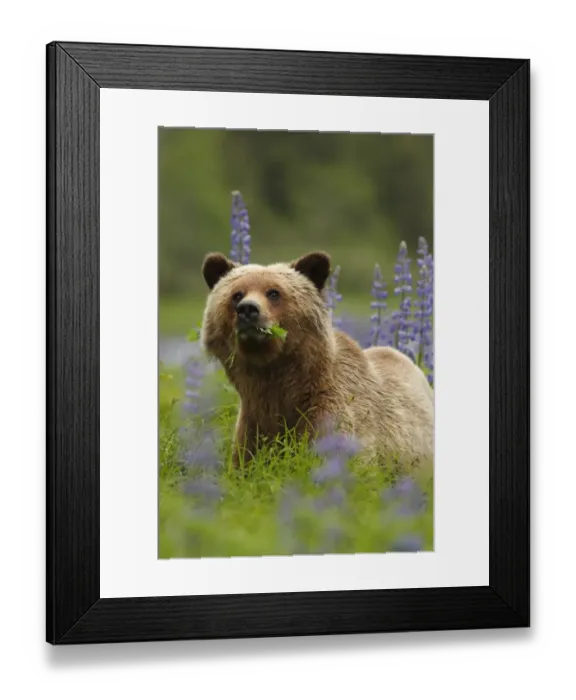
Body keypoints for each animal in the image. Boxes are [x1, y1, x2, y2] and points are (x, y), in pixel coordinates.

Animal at [200, 250, 434, 469]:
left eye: (274, 293)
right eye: (236, 294)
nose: (248, 309)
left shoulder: (328, 411)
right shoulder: (253, 422)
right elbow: (246, 463)